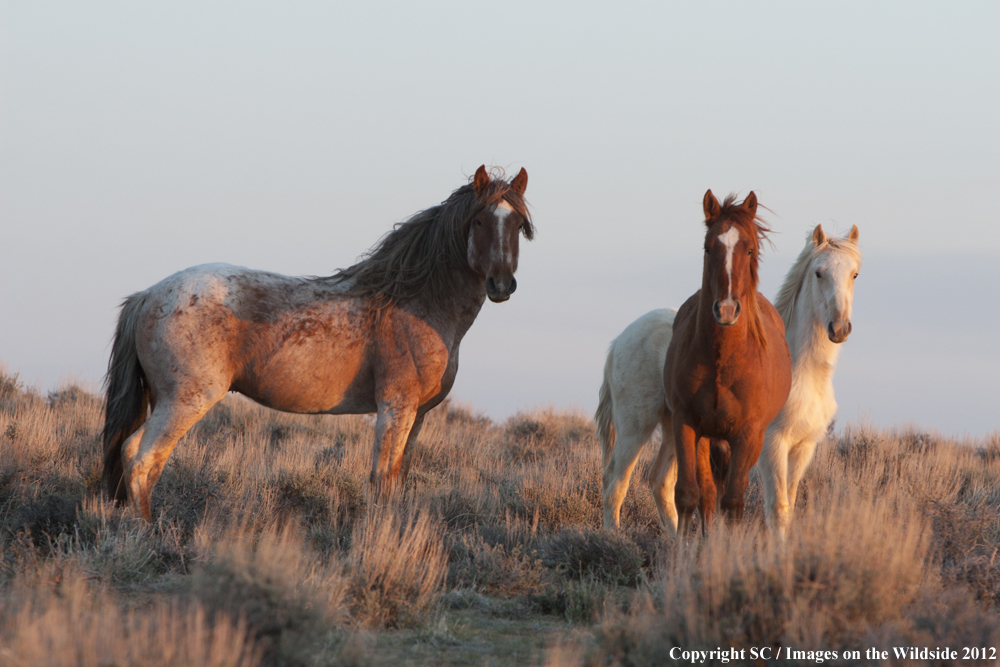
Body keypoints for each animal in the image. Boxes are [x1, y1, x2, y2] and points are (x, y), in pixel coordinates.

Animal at [102, 165, 532, 522]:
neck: (416, 303)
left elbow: (397, 480)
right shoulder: (395, 408)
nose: (501, 284)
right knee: (140, 458)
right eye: (479, 219)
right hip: (185, 401)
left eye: (518, 225)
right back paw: (150, 535)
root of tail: (148, 295)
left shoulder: (419, 415)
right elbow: (381, 479)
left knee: (142, 460)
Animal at [597, 219, 859, 537]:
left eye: (854, 273)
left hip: (675, 427)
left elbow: (788, 505)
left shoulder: (802, 447)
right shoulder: (772, 445)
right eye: (818, 272)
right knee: (615, 482)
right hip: (636, 425)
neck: (803, 370)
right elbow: (778, 509)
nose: (839, 328)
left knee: (659, 480)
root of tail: (619, 340)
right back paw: (611, 538)